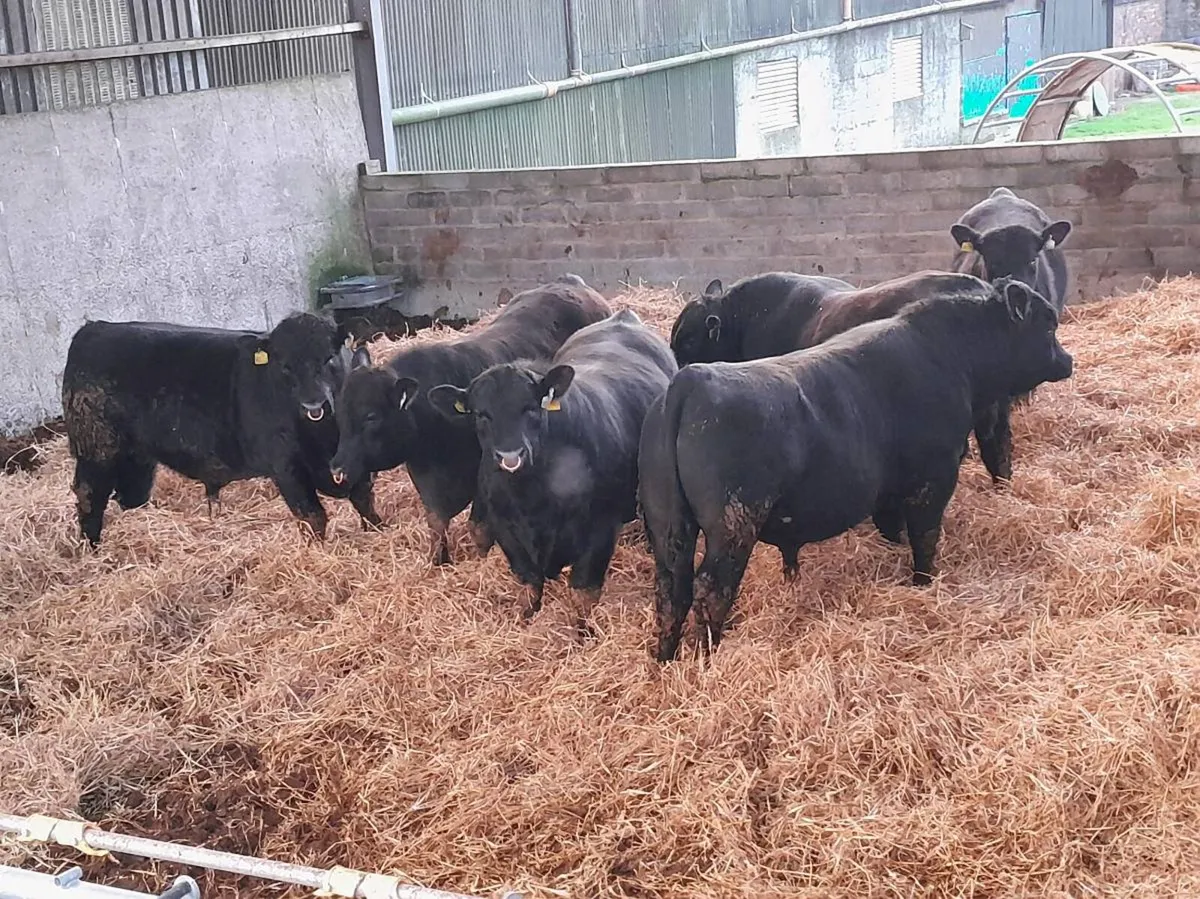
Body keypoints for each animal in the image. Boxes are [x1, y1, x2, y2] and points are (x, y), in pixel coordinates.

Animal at [62, 312, 378, 547]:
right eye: (285, 367)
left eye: (329, 358)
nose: (312, 403)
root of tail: (94, 328)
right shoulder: (286, 467)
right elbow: (312, 517)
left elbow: (365, 501)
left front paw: (378, 531)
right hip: (96, 450)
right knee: (89, 497)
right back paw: (92, 551)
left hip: (136, 458)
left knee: (131, 496)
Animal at [329, 275, 612, 565]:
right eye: (340, 414)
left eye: (370, 417)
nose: (337, 468)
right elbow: (436, 524)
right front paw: (439, 560)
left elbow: (479, 528)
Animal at [428, 309, 677, 633]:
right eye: (481, 414)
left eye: (531, 408)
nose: (510, 456)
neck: (533, 498)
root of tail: (622, 318)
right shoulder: (507, 530)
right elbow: (529, 583)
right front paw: (526, 618)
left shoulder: (599, 532)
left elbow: (584, 592)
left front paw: (581, 633)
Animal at [640, 277, 1074, 662]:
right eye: (1048, 323)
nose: (1067, 360)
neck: (947, 355)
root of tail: (693, 380)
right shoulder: (932, 480)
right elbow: (925, 538)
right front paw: (923, 583)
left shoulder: (889, 491)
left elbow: (893, 529)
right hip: (733, 526)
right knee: (711, 589)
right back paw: (706, 655)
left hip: (668, 526)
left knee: (671, 590)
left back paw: (665, 659)